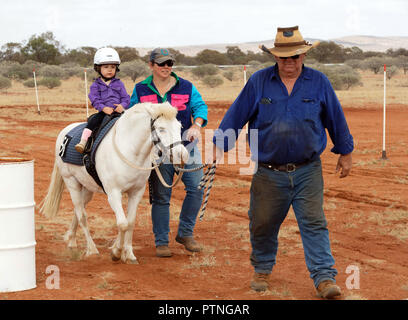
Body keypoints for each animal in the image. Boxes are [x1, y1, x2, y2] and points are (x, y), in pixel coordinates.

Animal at [39, 103, 189, 264]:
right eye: (161, 128)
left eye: (179, 126)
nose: (182, 155)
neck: (130, 150)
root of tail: (64, 132)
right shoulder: (113, 193)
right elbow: (122, 224)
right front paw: (117, 252)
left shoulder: (136, 192)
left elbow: (130, 222)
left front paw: (128, 253)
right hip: (72, 183)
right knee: (82, 215)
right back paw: (92, 249)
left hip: (87, 188)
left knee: (77, 211)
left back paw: (71, 241)